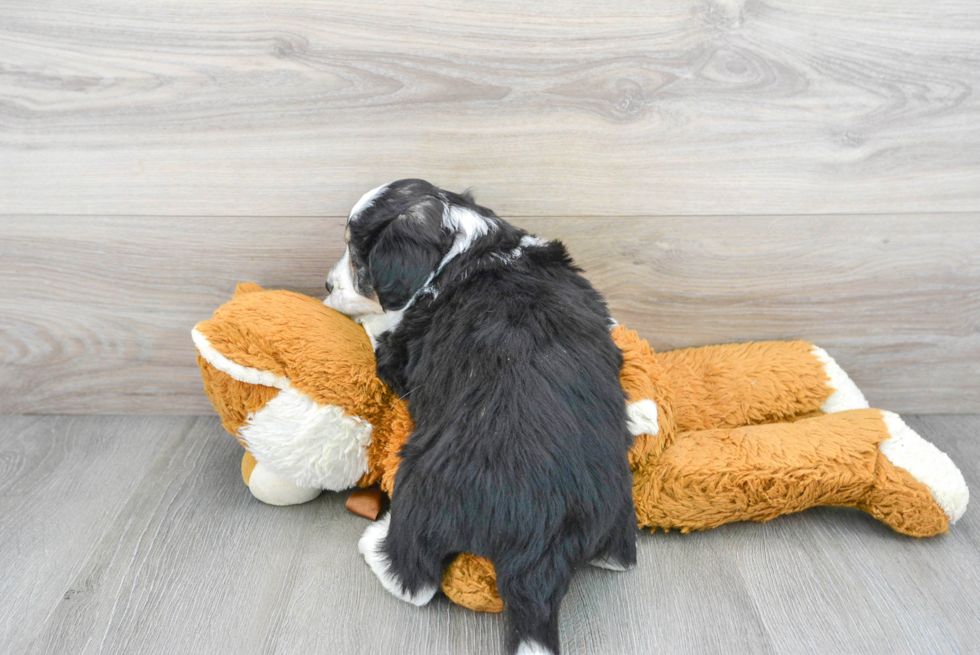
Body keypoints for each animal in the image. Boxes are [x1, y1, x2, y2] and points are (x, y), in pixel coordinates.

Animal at [326, 178, 640, 655]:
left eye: (356, 258)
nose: (325, 283)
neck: (464, 247)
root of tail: (545, 536)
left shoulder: (399, 354)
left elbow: (380, 327)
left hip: (420, 486)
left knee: (416, 578)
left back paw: (377, 546)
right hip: (615, 508)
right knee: (621, 555)